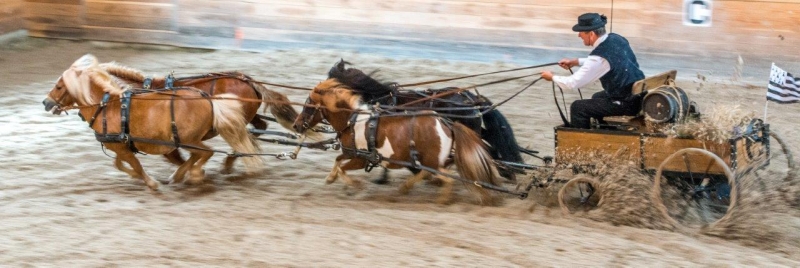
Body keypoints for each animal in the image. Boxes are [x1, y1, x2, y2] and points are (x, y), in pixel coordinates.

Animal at [43, 54, 264, 188]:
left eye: (59, 86)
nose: (45, 102)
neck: (109, 106)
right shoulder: (123, 146)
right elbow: (120, 164)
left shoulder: (128, 147)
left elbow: (136, 166)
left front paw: (152, 183)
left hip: (189, 139)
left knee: (209, 151)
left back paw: (200, 171)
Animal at [290, 78, 504, 204]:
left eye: (309, 105)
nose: (296, 125)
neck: (353, 120)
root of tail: (448, 124)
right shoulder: (351, 153)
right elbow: (337, 161)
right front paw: (330, 178)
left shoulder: (360, 158)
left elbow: (343, 168)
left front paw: (357, 185)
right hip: (428, 161)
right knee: (426, 174)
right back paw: (406, 188)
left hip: (432, 161)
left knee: (442, 177)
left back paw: (441, 198)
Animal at [326, 59, 524, 180]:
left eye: (329, 78)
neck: (384, 100)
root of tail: (471, 97)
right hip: (474, 128)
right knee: (490, 147)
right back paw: (505, 171)